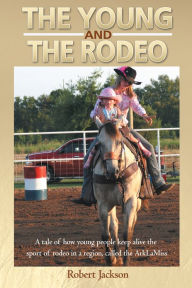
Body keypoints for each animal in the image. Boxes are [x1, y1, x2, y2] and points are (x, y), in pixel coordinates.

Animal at [93, 119, 142, 266]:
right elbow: (106, 234)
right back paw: (117, 256)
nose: (111, 171)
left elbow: (127, 232)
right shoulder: (103, 204)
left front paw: (126, 261)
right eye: (100, 143)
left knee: (131, 223)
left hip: (137, 202)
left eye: (120, 142)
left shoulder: (131, 201)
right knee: (114, 225)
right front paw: (110, 259)